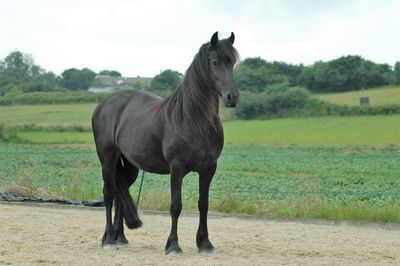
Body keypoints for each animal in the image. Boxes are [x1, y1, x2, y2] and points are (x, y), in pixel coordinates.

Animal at [92, 31, 239, 254]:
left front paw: (205, 243)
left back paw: (120, 238)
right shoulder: (176, 168)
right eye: (215, 62)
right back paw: (109, 239)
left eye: (232, 62)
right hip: (108, 160)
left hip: (130, 167)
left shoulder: (208, 168)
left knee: (120, 192)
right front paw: (173, 245)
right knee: (109, 194)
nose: (232, 97)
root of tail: (104, 104)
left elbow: (203, 204)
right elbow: (175, 206)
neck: (192, 119)